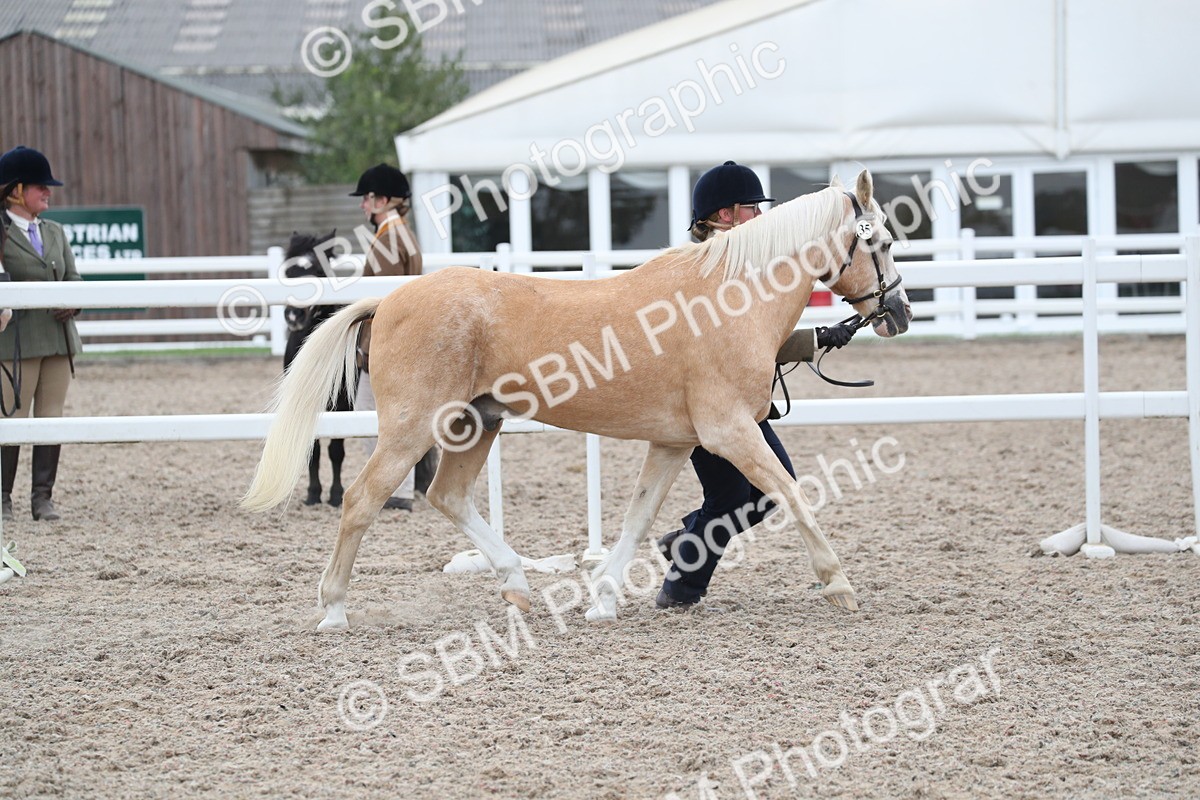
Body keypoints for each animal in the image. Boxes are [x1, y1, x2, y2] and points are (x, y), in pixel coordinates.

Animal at [281, 230, 354, 506]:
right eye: (287, 272)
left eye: (319, 271)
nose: (293, 316)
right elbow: (312, 450)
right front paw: (313, 493)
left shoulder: (342, 404)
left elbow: (336, 450)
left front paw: (335, 494)